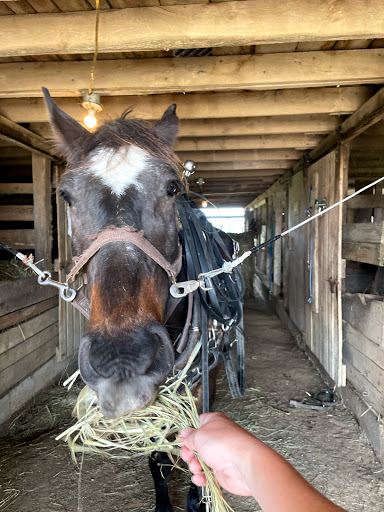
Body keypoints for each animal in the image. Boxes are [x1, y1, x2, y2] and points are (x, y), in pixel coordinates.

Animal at [43, 89, 244, 512]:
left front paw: (196, 497)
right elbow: (159, 455)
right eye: (66, 196)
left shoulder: (196, 385)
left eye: (171, 188)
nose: (122, 359)